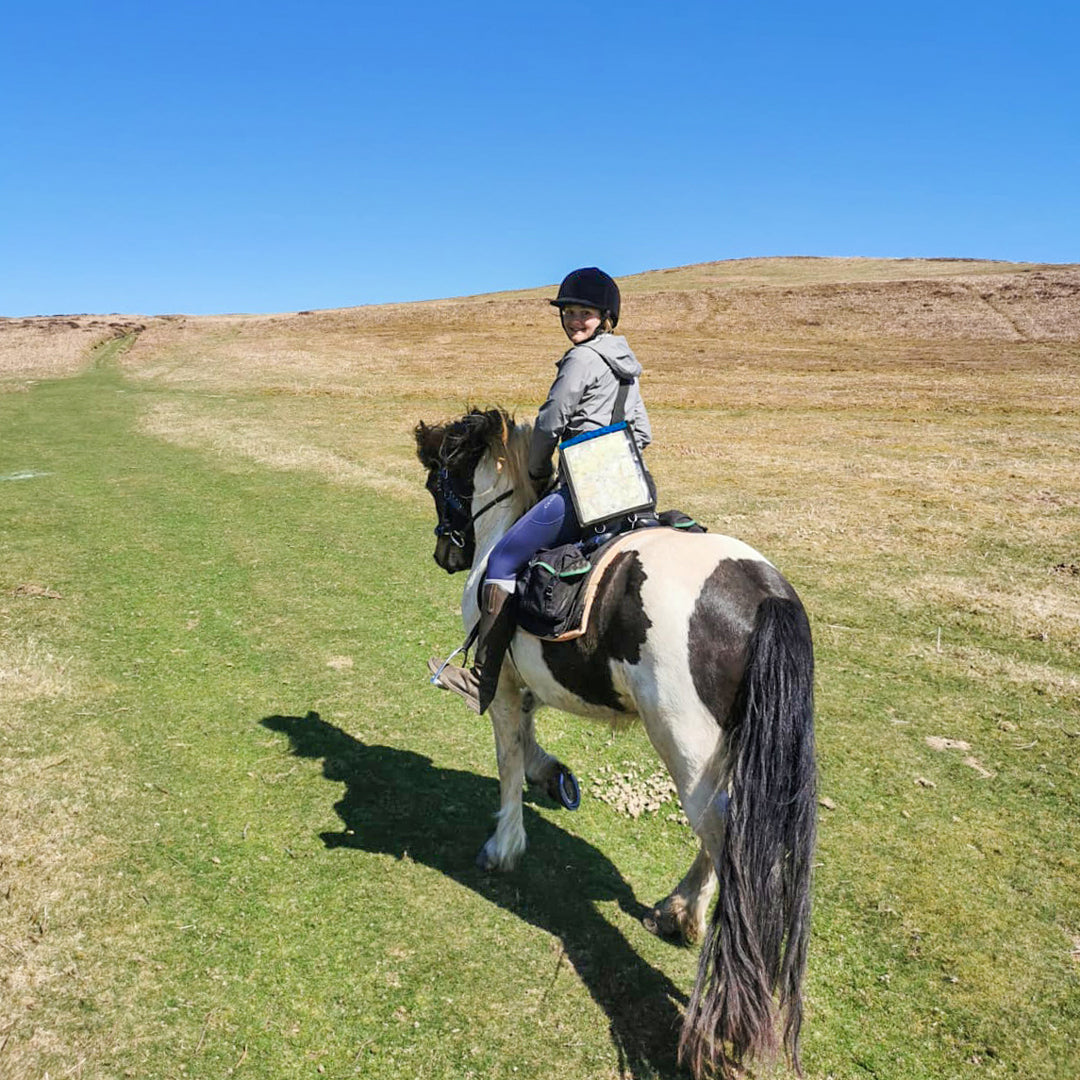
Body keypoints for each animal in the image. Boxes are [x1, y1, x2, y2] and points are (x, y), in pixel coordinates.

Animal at [414, 406, 816, 1080]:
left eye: (437, 480)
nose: (446, 551)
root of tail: (764, 595)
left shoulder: (504, 685)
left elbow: (508, 758)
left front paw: (504, 846)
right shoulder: (527, 685)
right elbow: (529, 745)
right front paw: (554, 776)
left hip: (685, 748)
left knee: (730, 843)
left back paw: (720, 1017)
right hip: (726, 755)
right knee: (728, 829)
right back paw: (679, 912)